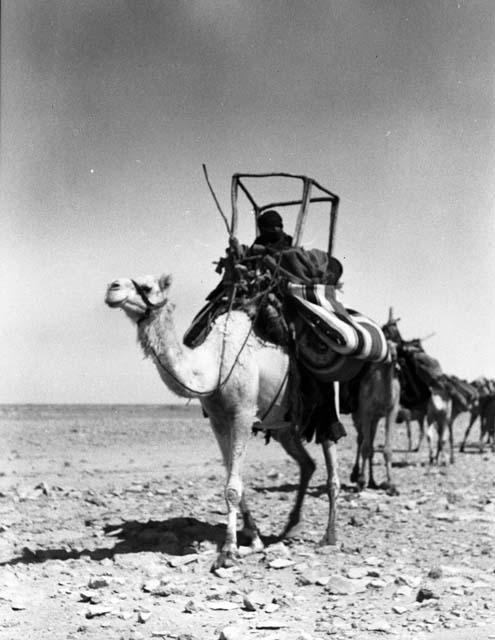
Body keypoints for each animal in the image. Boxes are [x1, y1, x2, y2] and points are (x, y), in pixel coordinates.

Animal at [105, 272, 340, 568]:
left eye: (146, 287)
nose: (112, 288)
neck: (214, 364)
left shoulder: (243, 413)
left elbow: (232, 487)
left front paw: (228, 550)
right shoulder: (218, 420)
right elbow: (233, 478)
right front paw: (255, 539)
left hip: (323, 407)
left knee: (331, 468)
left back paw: (329, 536)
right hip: (283, 425)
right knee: (307, 463)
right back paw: (291, 527)